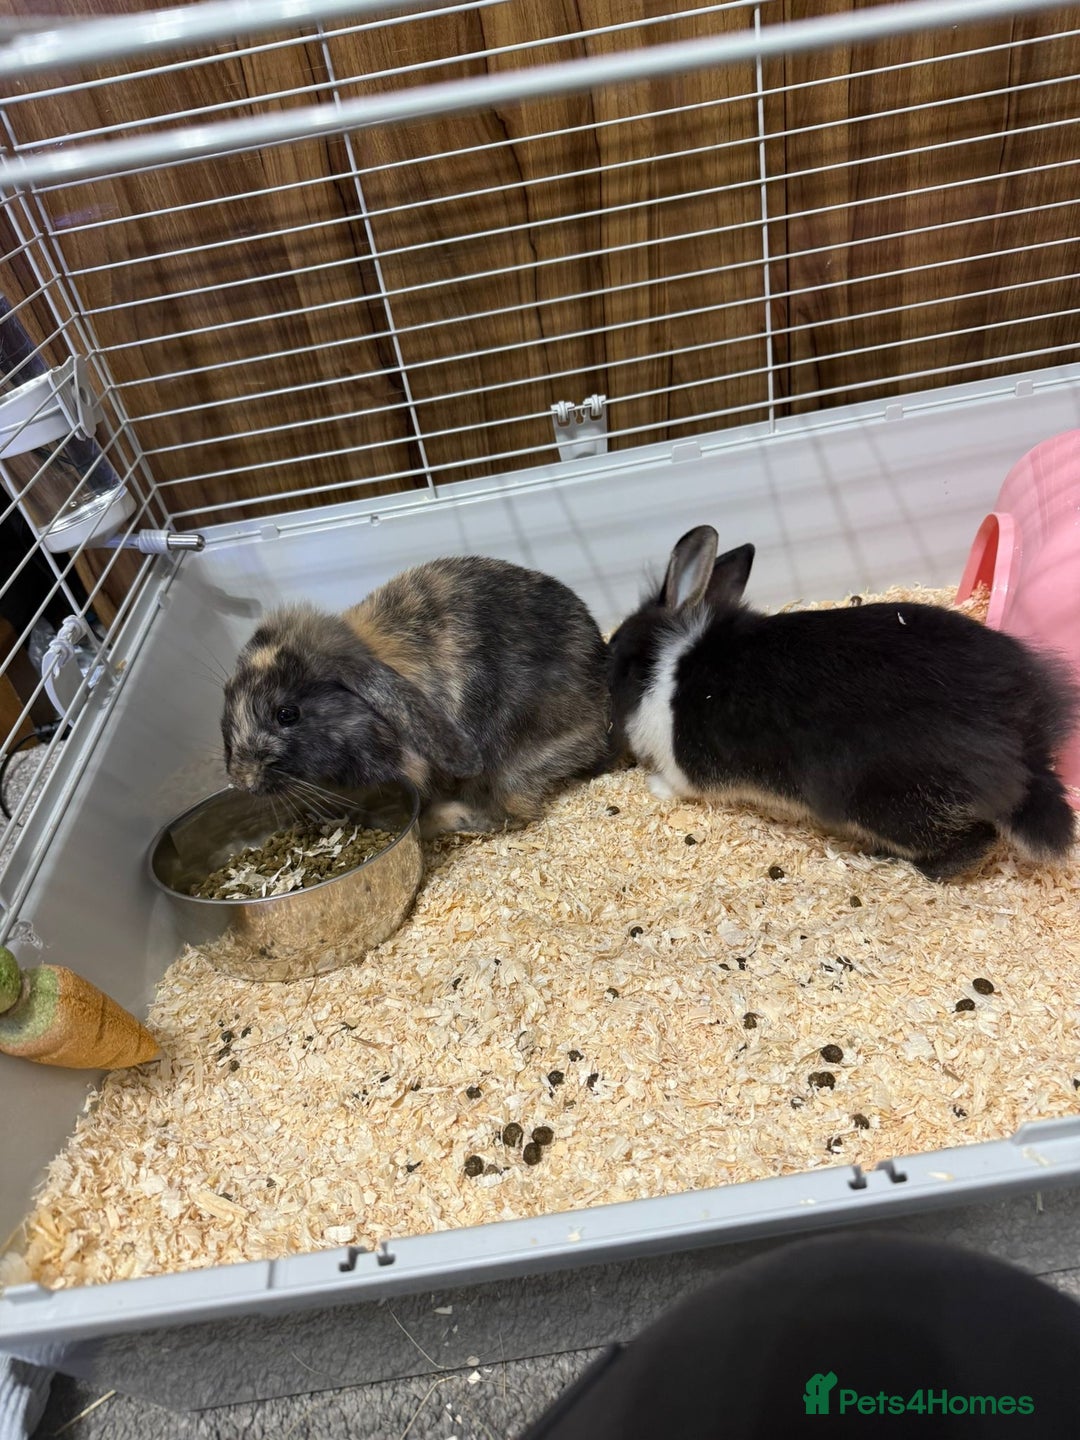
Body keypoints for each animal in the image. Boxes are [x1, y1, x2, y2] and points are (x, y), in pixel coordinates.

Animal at [606, 525, 1078, 880]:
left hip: (895, 804)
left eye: (616, 654)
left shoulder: (681, 765)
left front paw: (654, 788)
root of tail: (1026, 746)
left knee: (970, 842)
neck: (662, 661)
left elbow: (674, 783)